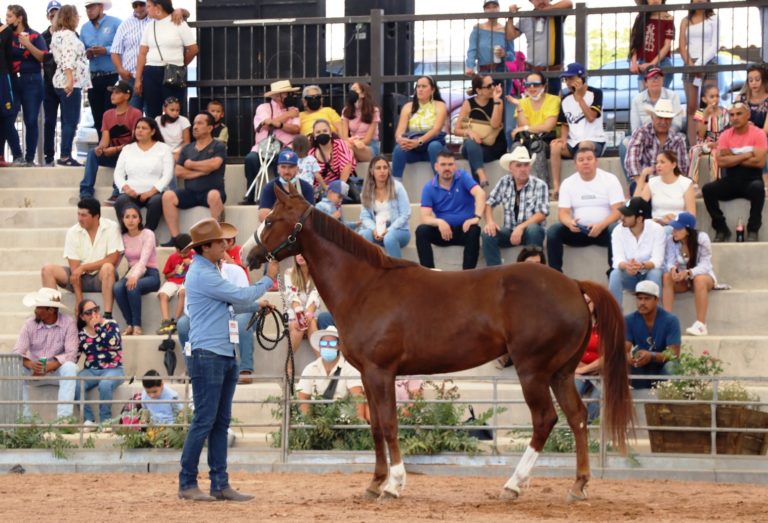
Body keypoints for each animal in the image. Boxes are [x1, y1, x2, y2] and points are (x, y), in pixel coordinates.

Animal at [245, 183, 633, 502]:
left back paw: (513, 485)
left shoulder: (381, 373)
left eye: (272, 220)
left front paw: (394, 485)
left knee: (545, 420)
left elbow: (389, 425)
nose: (249, 256)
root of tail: (573, 285)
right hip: (560, 373)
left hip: (533, 372)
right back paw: (578, 485)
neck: (366, 286)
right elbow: (375, 427)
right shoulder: (368, 376)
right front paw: (375, 483)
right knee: (577, 418)